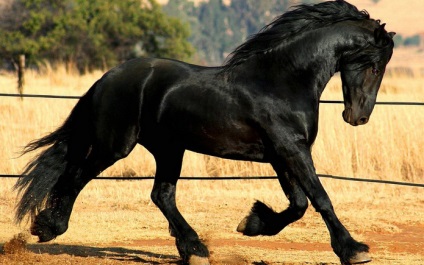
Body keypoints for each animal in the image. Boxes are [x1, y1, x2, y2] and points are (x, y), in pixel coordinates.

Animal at [14, 1, 396, 262]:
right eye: (375, 66)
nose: (358, 117)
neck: (281, 80)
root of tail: (106, 78)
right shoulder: (291, 150)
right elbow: (319, 197)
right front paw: (354, 250)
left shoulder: (282, 154)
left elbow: (299, 204)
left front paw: (252, 223)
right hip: (116, 145)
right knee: (76, 176)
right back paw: (47, 227)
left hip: (169, 149)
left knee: (161, 195)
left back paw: (194, 248)